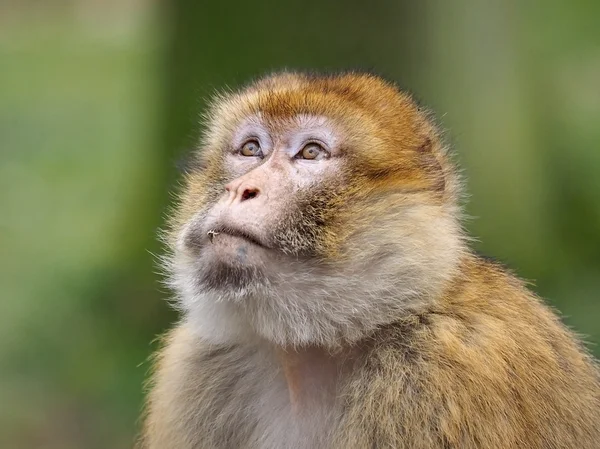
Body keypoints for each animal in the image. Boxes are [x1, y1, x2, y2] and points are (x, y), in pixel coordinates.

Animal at [139, 72, 600, 446]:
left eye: (311, 153)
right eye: (251, 149)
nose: (241, 190)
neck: (315, 344)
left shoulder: (438, 374)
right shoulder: (194, 366)